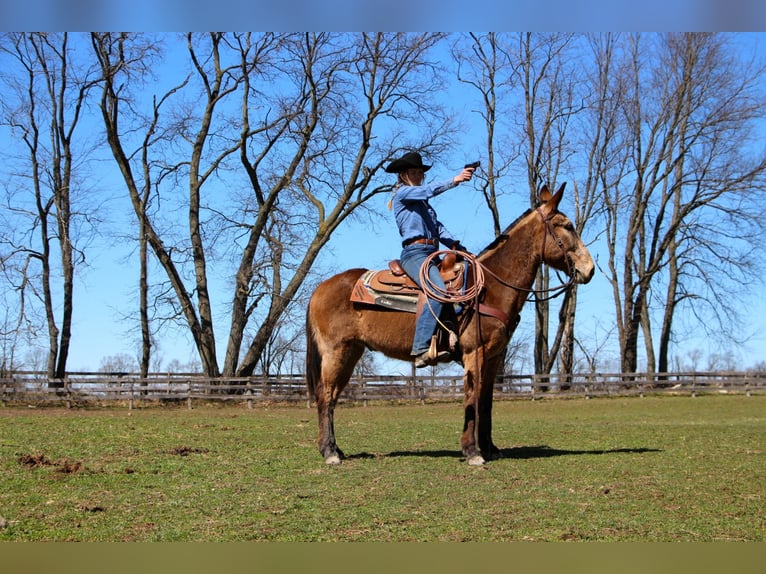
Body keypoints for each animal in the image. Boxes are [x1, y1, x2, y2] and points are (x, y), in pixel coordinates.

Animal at [304, 184, 592, 468]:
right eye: (566, 225)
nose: (589, 269)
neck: (490, 286)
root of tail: (319, 289)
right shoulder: (474, 353)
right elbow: (472, 398)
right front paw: (472, 451)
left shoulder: (494, 357)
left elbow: (486, 402)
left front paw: (490, 448)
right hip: (336, 352)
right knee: (325, 395)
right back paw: (329, 452)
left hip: (351, 353)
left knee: (333, 397)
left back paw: (336, 449)